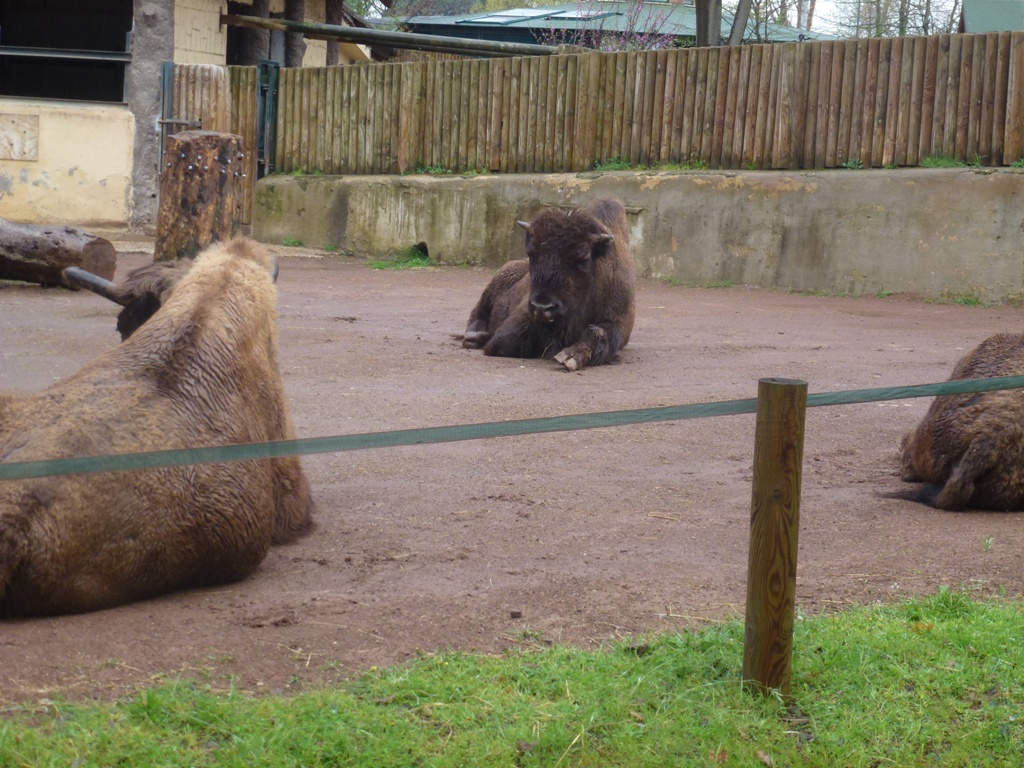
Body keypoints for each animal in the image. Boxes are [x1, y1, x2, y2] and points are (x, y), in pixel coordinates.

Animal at [462, 198, 636, 371]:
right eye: (530, 253)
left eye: (584, 258)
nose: (542, 307)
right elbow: (504, 340)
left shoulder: (617, 323)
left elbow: (599, 335)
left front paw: (569, 357)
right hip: (491, 290)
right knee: (477, 315)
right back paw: (472, 337)